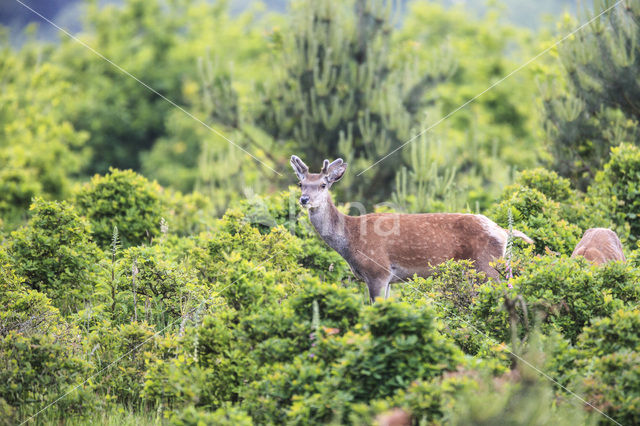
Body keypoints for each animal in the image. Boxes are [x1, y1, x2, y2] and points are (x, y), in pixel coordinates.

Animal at [292, 156, 536, 302]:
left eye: (323, 184)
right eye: (301, 184)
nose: (304, 199)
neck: (350, 239)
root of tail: (504, 232)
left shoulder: (378, 270)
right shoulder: (386, 279)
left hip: (488, 267)